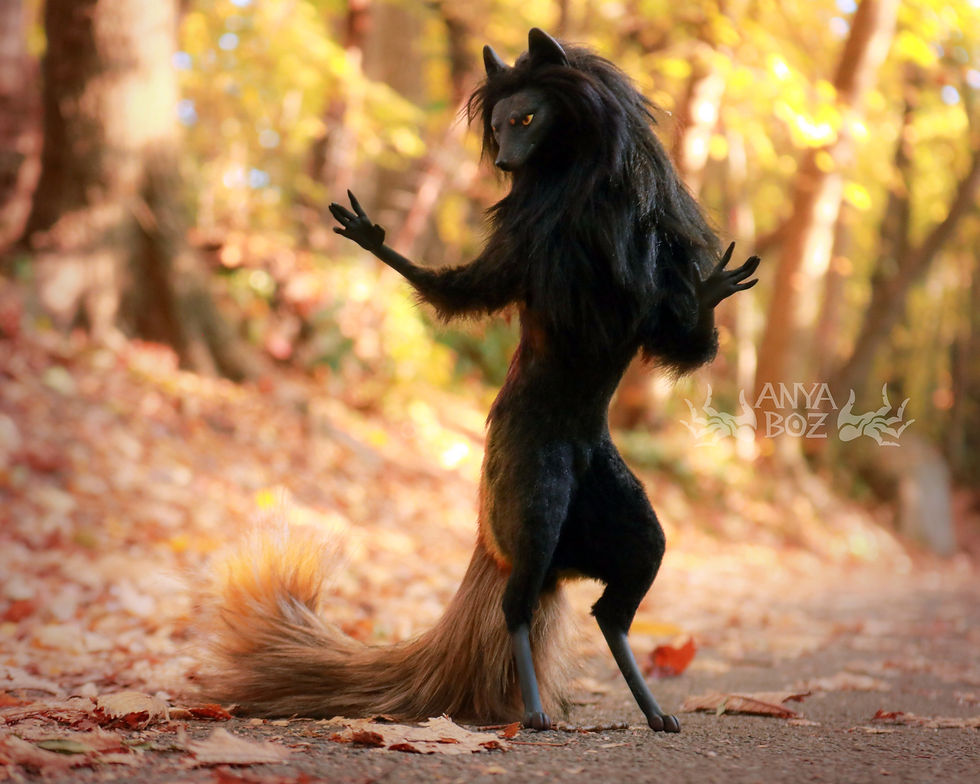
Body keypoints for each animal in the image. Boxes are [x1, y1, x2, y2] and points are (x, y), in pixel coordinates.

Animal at [204, 27, 760, 732]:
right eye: (497, 125)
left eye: (525, 118)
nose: (502, 161)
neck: (585, 186)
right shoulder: (526, 247)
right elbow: (468, 289)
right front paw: (371, 237)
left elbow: (680, 337)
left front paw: (713, 290)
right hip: (532, 498)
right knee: (517, 604)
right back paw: (533, 711)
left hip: (620, 515)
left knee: (618, 597)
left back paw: (651, 709)